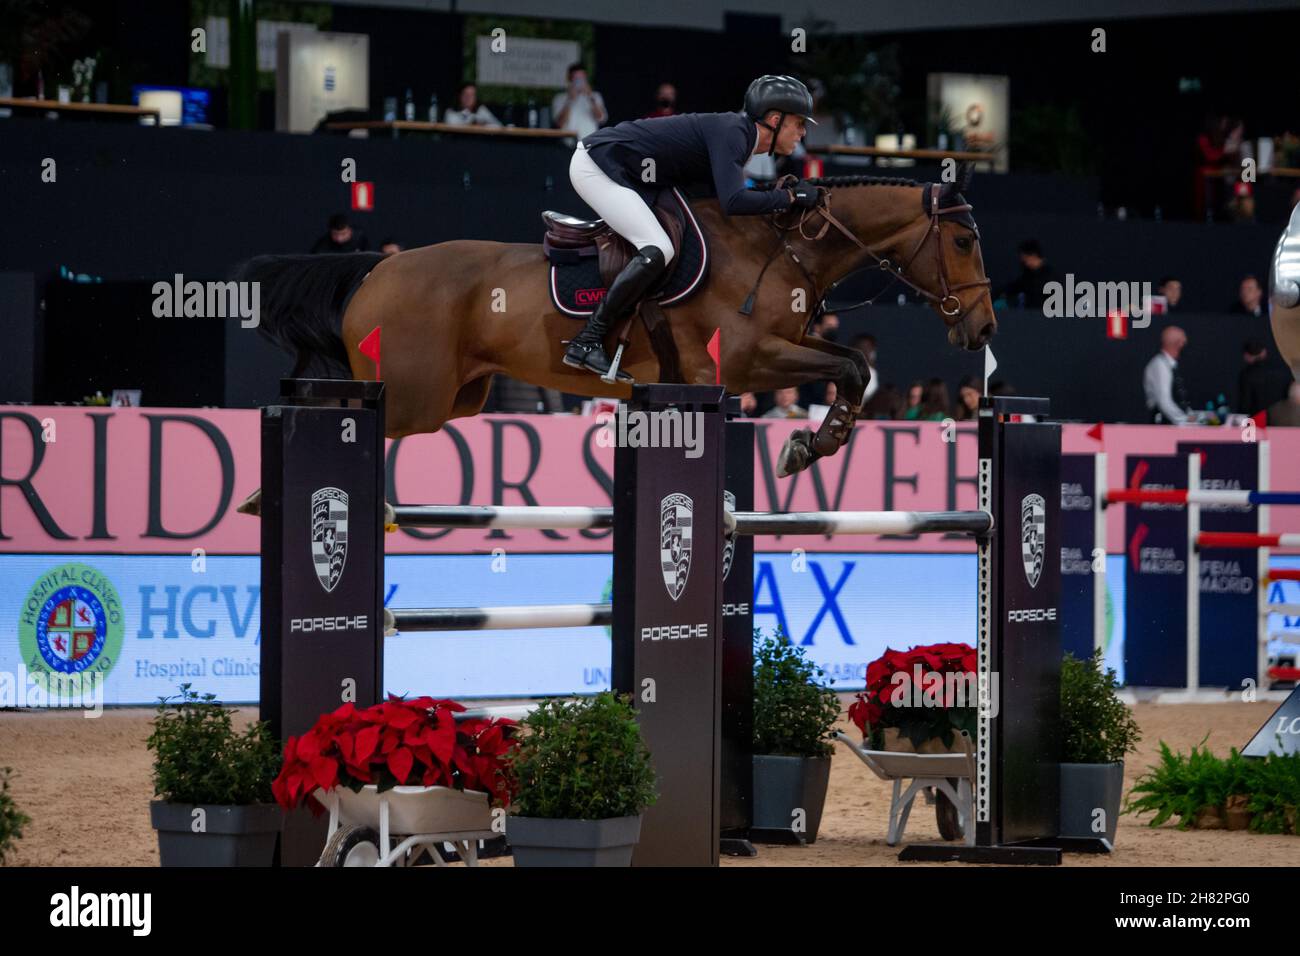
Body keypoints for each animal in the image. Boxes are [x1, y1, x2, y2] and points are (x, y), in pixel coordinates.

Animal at [239, 165, 993, 481]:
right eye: (962, 241)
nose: (983, 331)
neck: (780, 245)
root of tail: (375, 271)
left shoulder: (783, 345)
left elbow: (852, 367)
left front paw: (814, 443)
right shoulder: (746, 358)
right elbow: (850, 366)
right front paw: (809, 446)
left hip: (455, 397)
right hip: (412, 397)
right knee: (339, 412)